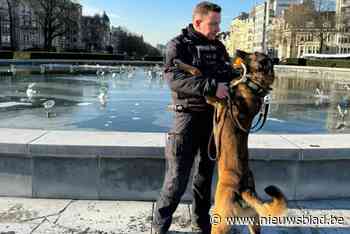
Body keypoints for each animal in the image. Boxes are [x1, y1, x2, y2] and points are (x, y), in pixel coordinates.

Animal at [175, 51, 288, 234]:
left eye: (253, 54)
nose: (237, 52)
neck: (253, 86)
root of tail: (243, 190)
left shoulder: (212, 97)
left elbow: (197, 71)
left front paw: (180, 63)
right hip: (253, 221)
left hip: (220, 220)